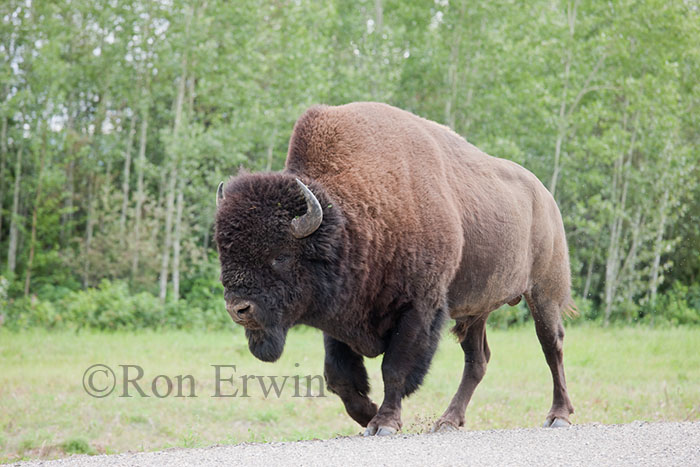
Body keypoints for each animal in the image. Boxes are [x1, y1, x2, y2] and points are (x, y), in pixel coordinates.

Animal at [213, 100, 576, 436]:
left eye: (281, 256)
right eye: (223, 251)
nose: (238, 309)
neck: (352, 220)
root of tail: (545, 196)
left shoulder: (418, 308)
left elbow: (394, 369)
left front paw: (383, 423)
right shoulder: (340, 315)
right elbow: (338, 375)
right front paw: (367, 414)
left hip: (544, 293)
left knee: (552, 346)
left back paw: (558, 415)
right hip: (476, 311)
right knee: (477, 360)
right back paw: (447, 421)